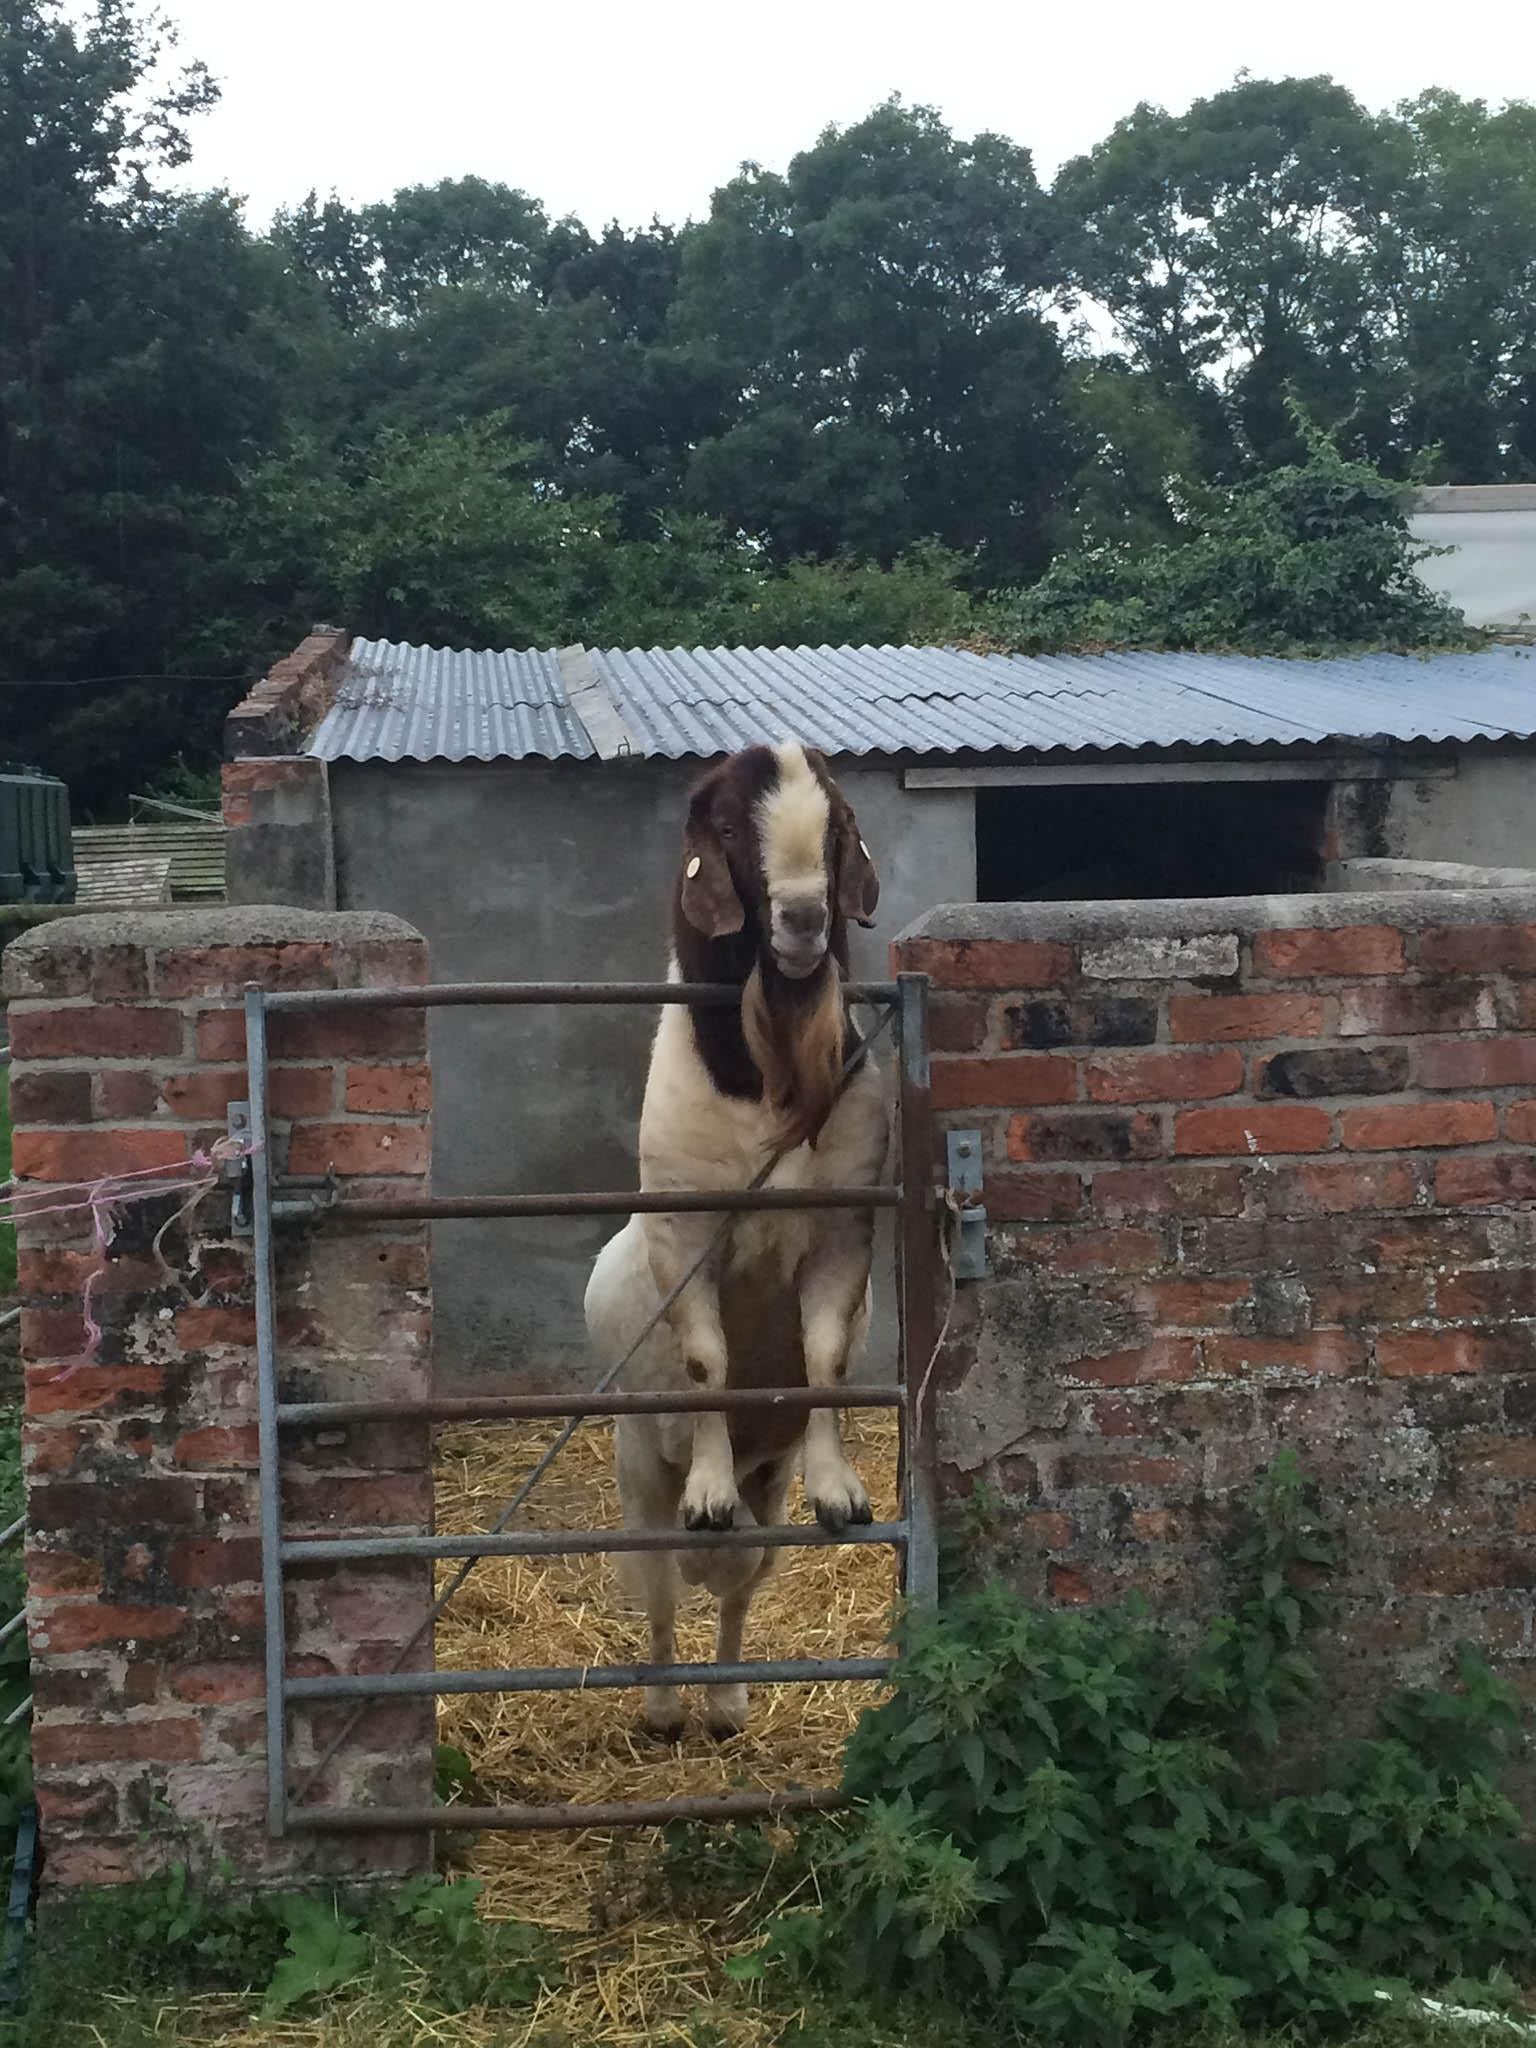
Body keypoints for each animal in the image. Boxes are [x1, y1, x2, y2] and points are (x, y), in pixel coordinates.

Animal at [581, 737, 888, 1728]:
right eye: (722, 824)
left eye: (836, 821)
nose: (803, 919)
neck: (762, 1088)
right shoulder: (687, 1234)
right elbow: (707, 1361)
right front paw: (710, 1493)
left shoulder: (843, 1227)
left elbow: (826, 1356)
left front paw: (843, 1490)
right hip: (638, 1465)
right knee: (660, 1583)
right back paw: (664, 1705)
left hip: (770, 1481)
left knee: (742, 1580)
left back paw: (725, 1703)